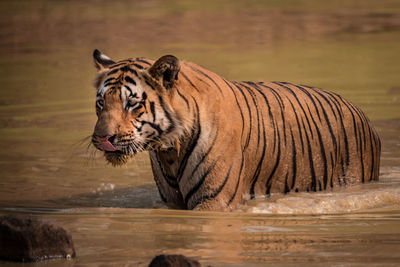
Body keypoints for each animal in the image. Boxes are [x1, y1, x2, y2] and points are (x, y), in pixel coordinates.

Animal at [90, 49, 382, 211]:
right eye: (101, 102)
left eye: (132, 104)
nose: (103, 139)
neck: (169, 150)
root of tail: (361, 112)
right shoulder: (171, 200)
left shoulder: (215, 202)